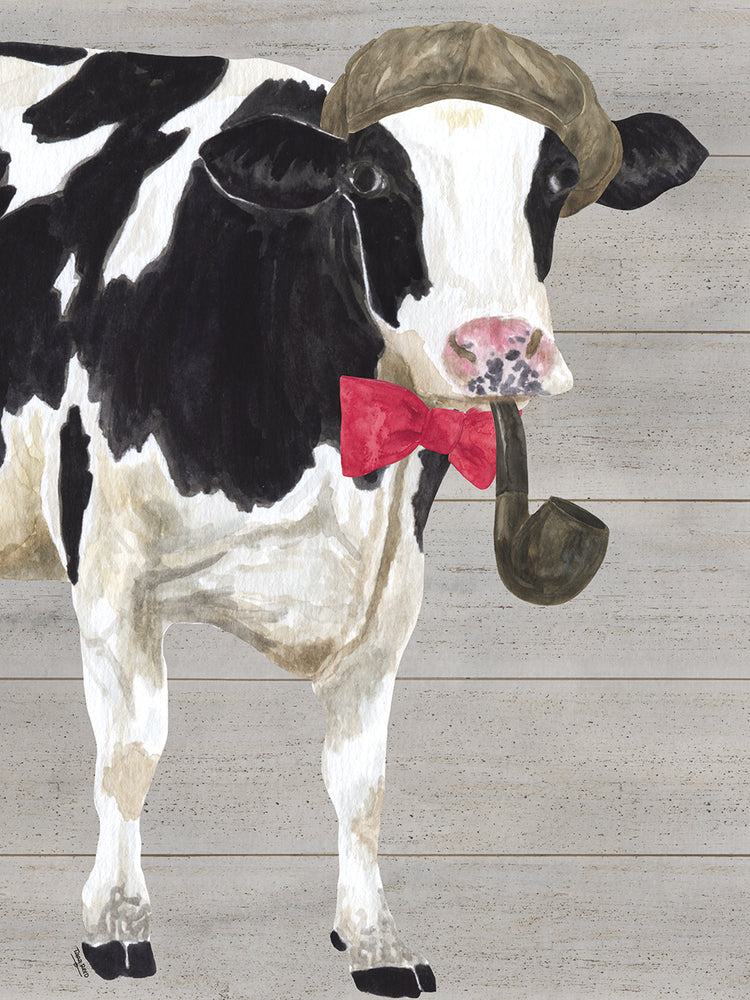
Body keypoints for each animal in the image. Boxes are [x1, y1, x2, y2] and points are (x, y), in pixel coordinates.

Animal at [0, 23, 706, 997]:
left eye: (558, 177)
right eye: (370, 178)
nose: (500, 349)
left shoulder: (391, 588)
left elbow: (359, 783)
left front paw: (375, 942)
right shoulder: (108, 566)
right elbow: (130, 757)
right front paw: (113, 927)